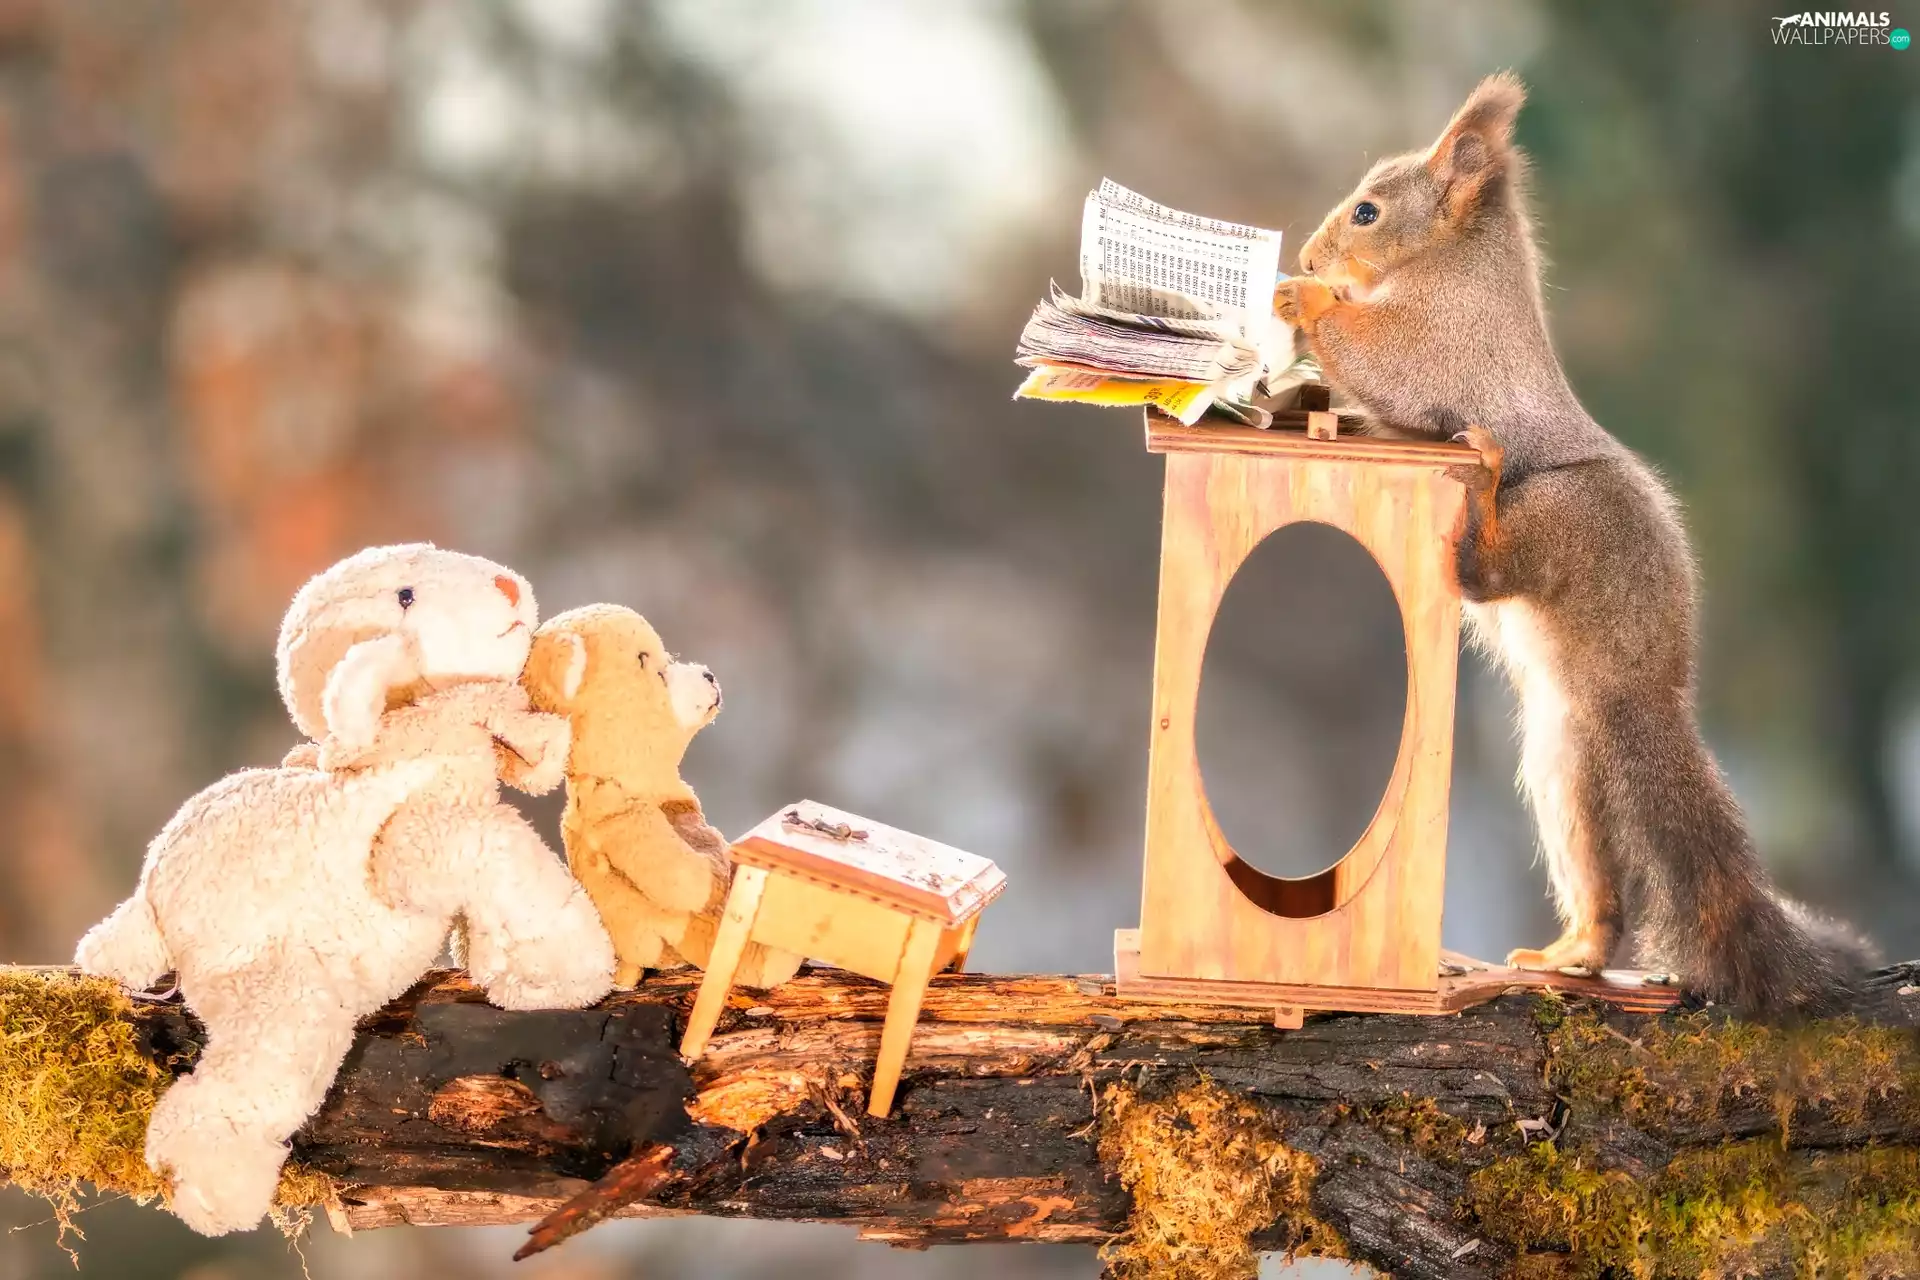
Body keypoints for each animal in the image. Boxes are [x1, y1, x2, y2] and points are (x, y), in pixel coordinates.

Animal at [1274, 71, 1874, 1015]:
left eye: (1368, 213)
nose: (1306, 255)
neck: (1450, 265)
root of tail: (1647, 682)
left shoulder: (1444, 343)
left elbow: (1384, 363)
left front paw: (1299, 302)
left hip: (1558, 519)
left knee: (1486, 572)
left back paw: (1482, 486)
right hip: (1564, 769)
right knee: (1599, 894)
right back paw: (1567, 954)